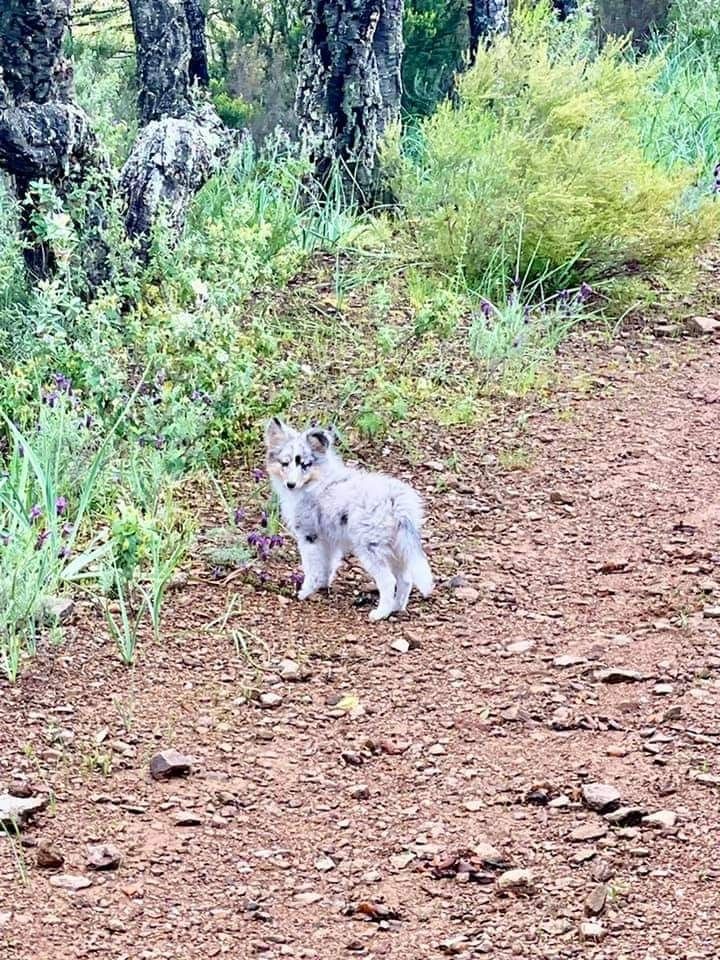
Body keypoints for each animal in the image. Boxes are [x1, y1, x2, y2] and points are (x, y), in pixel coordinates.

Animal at [264, 420, 434, 624]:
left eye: (305, 464)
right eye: (285, 463)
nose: (290, 484)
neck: (316, 480)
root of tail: (396, 501)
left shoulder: (309, 536)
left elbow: (311, 568)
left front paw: (305, 592)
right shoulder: (328, 540)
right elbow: (327, 566)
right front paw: (322, 586)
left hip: (370, 546)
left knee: (388, 580)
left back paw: (380, 613)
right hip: (397, 546)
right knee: (405, 580)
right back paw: (396, 607)